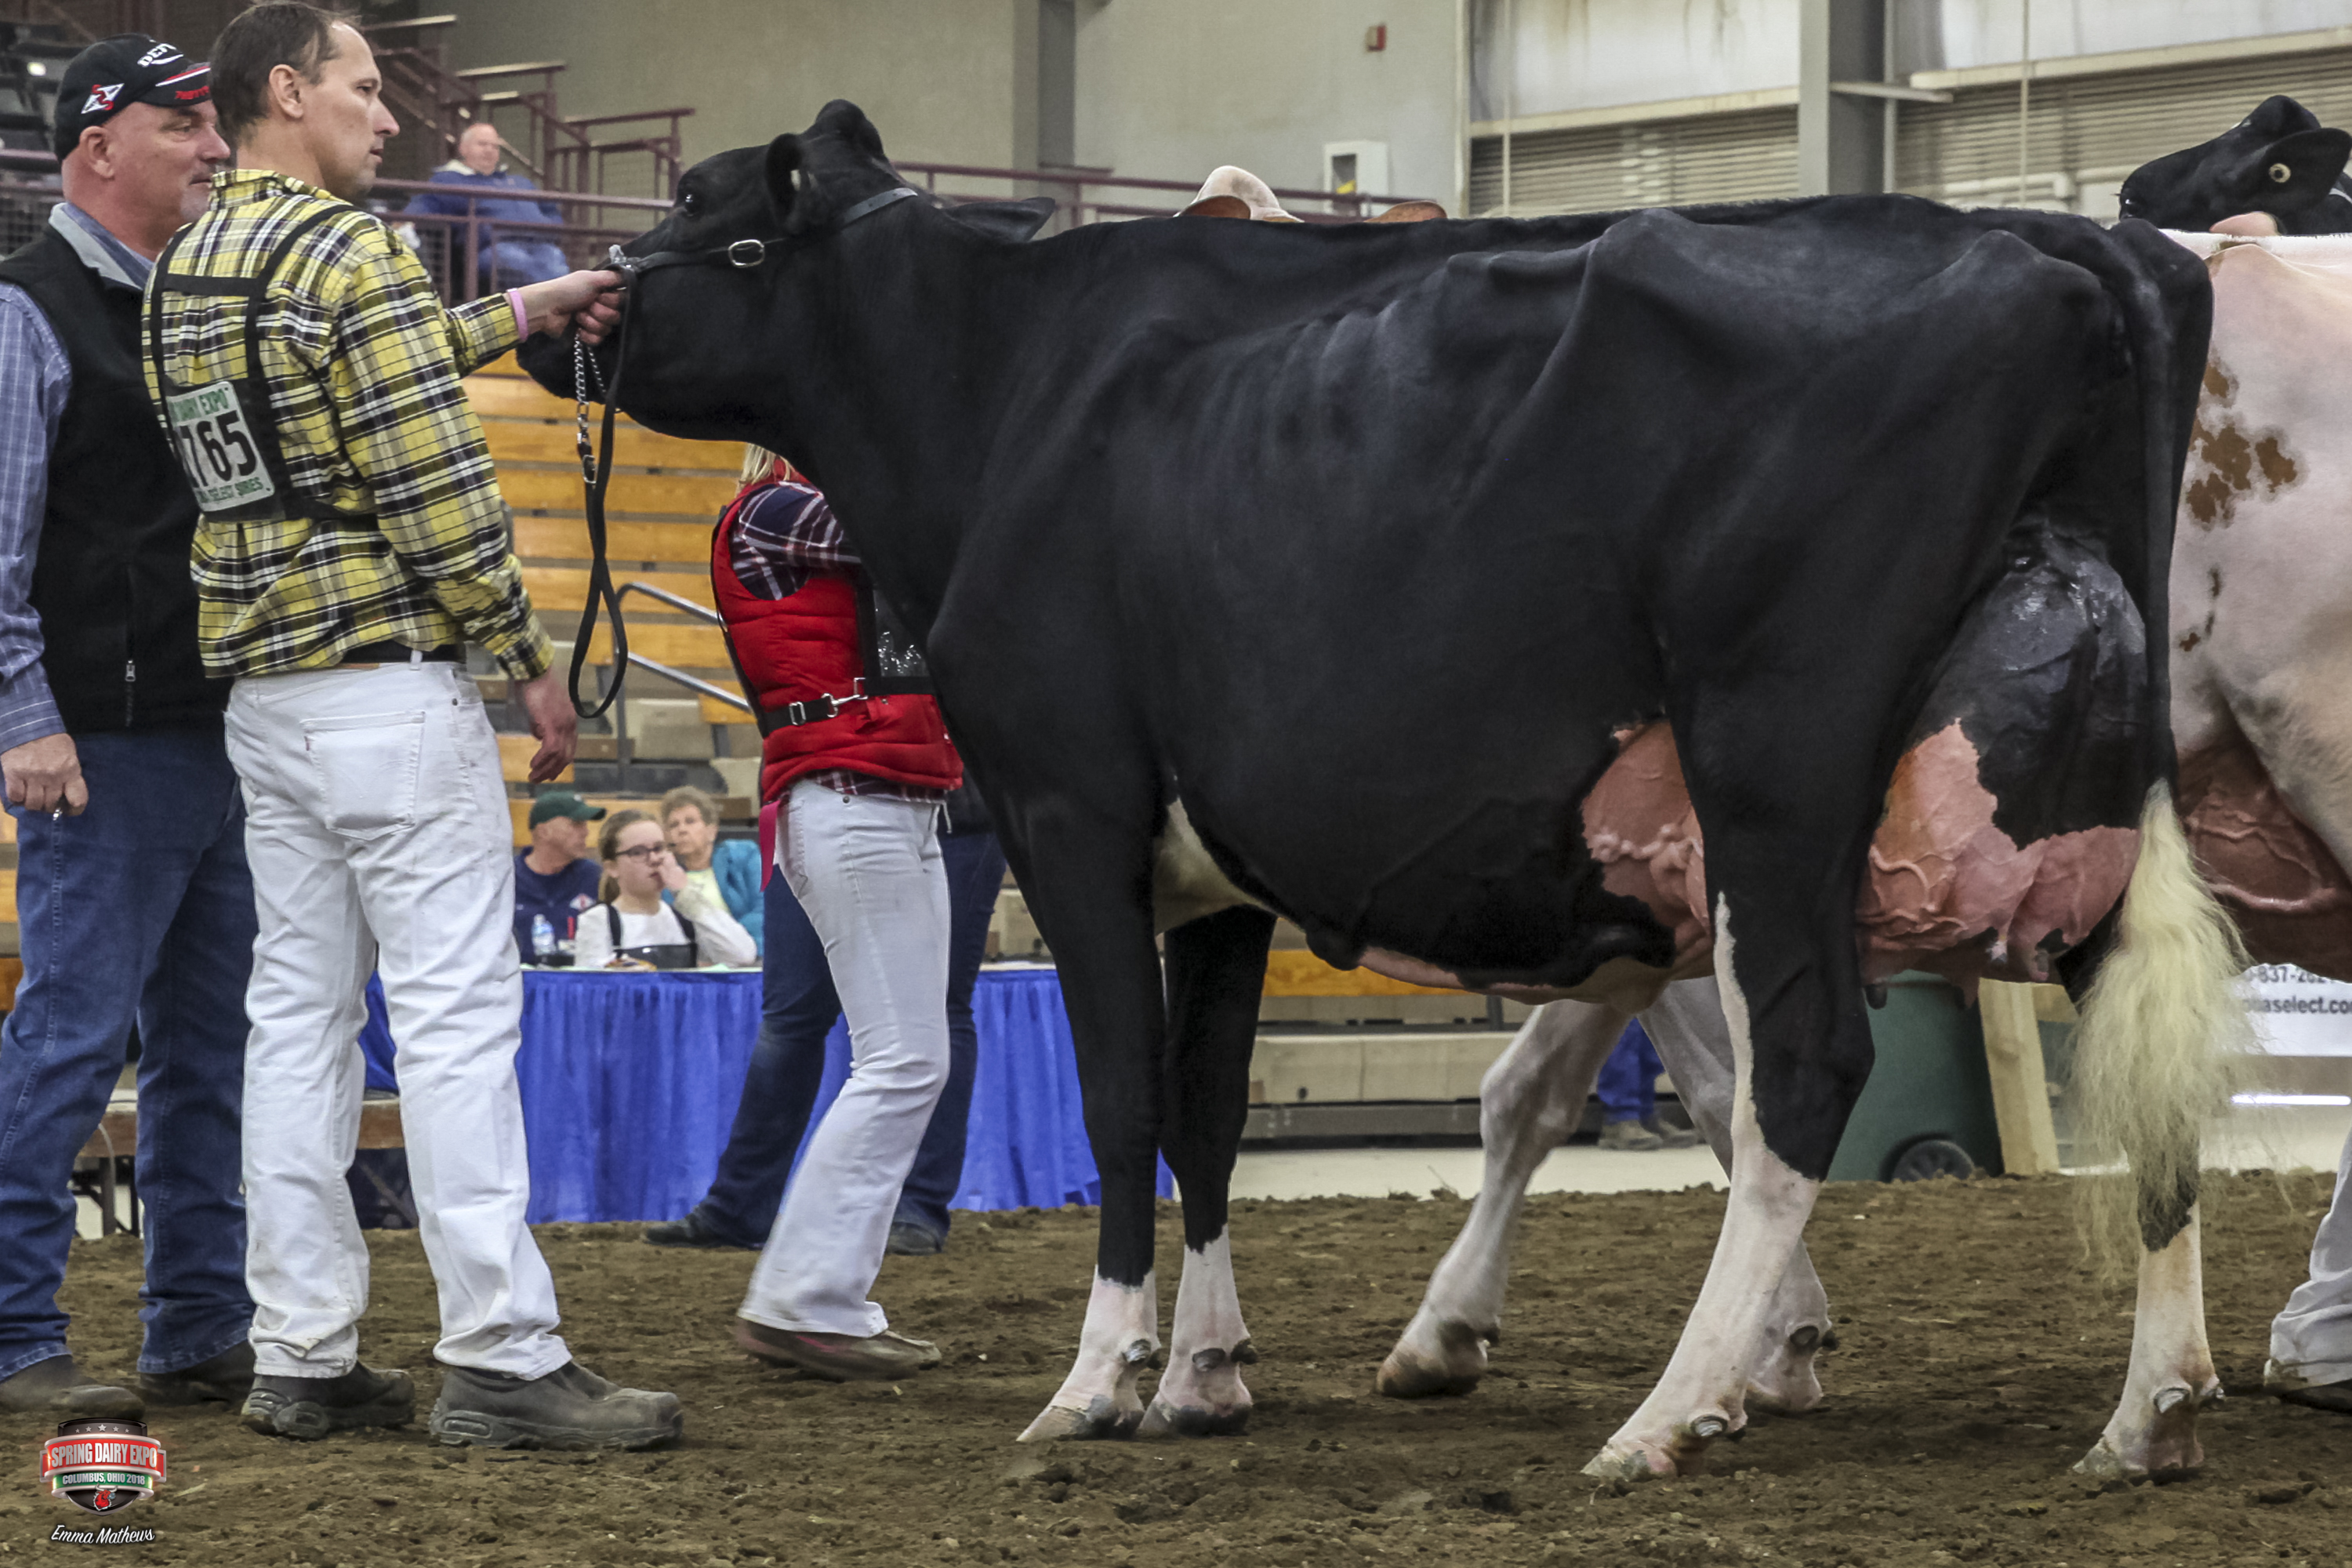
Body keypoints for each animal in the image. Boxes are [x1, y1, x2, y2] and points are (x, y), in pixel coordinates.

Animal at [520, 100, 2225, 1481]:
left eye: (699, 211)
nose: (552, 318)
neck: (1004, 397)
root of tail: (2073, 245)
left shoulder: (1070, 809)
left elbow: (1120, 1093)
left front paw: (1097, 1380)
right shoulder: (1209, 862)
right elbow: (1207, 1108)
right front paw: (1204, 1374)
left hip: (1778, 762)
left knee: (1807, 1062)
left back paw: (1670, 1413)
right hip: (2083, 783)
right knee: (2137, 1044)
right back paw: (2149, 1411)